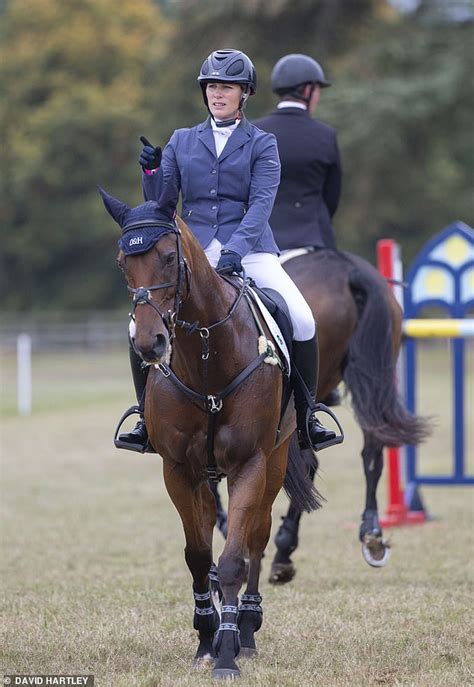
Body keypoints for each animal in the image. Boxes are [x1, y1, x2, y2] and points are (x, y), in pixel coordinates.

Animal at [100, 191, 322, 680]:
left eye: (168, 257)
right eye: (123, 262)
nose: (149, 343)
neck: (205, 352)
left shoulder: (249, 465)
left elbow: (235, 556)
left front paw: (226, 654)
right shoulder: (179, 470)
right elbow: (199, 557)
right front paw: (206, 640)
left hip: (275, 460)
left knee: (257, 537)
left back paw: (247, 630)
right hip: (206, 476)